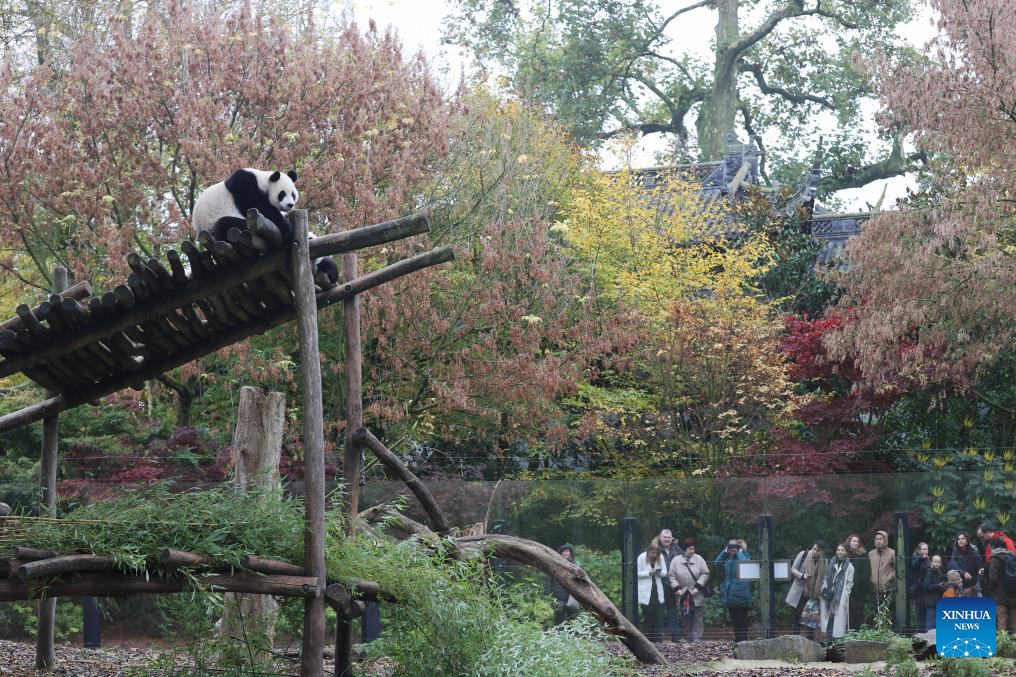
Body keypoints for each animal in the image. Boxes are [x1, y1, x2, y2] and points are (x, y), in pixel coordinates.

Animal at [192, 169, 343, 286]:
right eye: (282, 194)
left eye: (293, 194)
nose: (290, 205)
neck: (264, 181)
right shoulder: (245, 186)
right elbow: (262, 207)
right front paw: (287, 228)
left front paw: (332, 270)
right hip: (217, 223)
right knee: (227, 224)